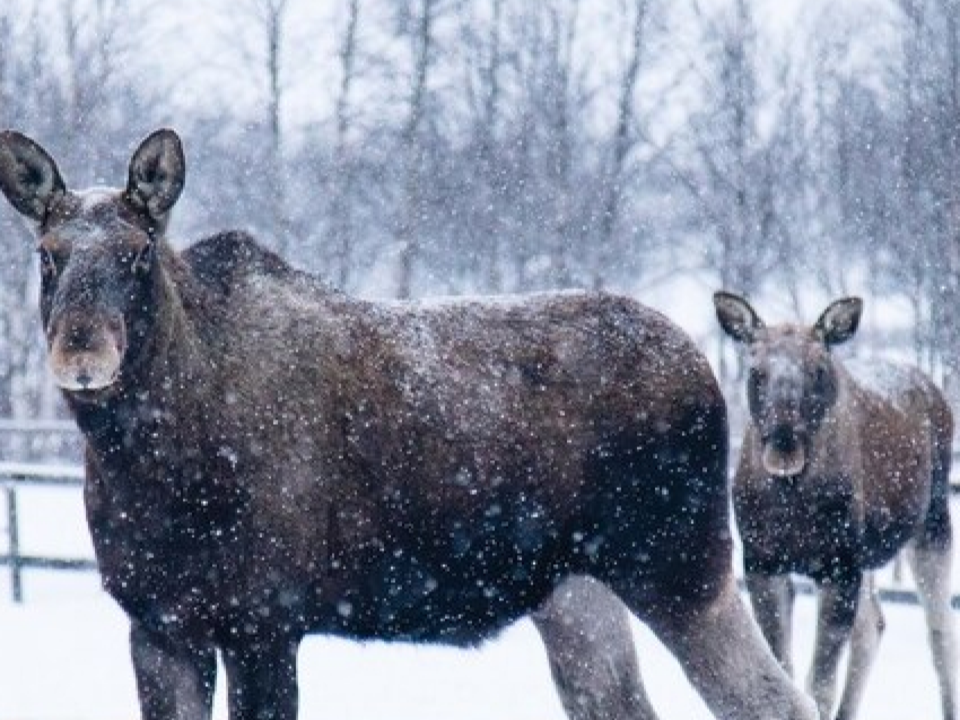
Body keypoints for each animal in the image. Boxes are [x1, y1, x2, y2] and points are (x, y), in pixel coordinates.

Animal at [0, 129, 816, 720]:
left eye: (138, 252)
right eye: (47, 255)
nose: (80, 350)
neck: (154, 455)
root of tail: (709, 369)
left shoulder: (266, 621)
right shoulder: (158, 623)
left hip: (680, 565)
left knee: (779, 700)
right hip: (577, 593)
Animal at [716, 292, 956, 720]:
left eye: (818, 369)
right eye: (756, 370)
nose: (784, 445)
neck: (792, 503)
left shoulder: (839, 564)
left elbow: (820, 686)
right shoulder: (763, 561)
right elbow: (784, 672)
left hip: (932, 520)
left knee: (939, 631)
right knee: (873, 624)